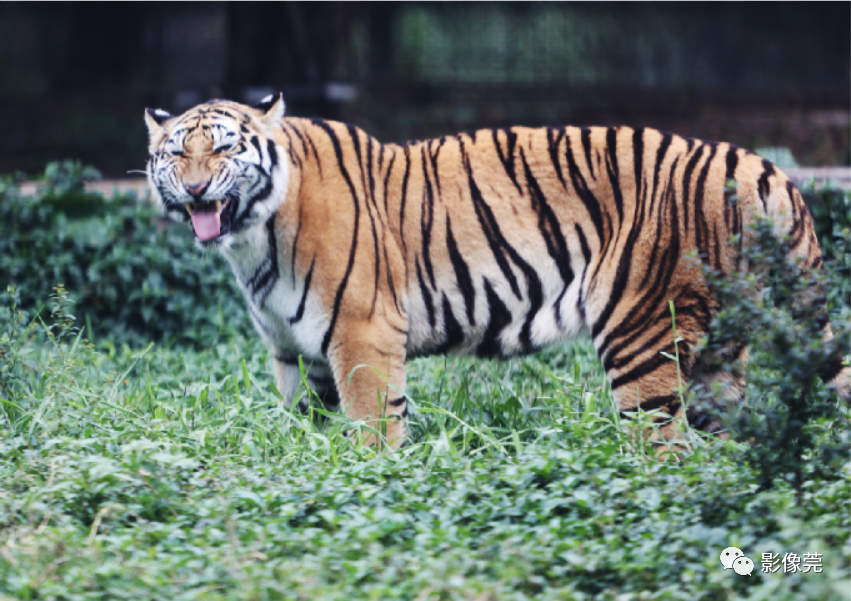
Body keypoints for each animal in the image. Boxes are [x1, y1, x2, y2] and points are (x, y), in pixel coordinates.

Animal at [143, 92, 848, 450]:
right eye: (178, 153)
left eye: (224, 149)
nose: (198, 188)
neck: (250, 237)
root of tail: (764, 167)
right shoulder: (297, 355)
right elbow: (303, 433)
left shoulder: (361, 333)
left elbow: (373, 428)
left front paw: (374, 481)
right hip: (721, 355)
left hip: (644, 332)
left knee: (662, 451)